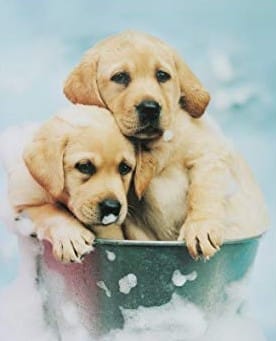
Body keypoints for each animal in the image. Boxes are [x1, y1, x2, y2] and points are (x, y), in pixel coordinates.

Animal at [2, 105, 135, 262]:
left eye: (124, 168)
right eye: (84, 166)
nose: (112, 207)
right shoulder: (20, 202)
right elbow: (49, 209)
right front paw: (71, 237)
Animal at [63, 30, 268, 258]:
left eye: (162, 76)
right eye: (120, 77)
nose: (150, 108)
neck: (155, 146)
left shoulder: (208, 152)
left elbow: (204, 191)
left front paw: (201, 227)